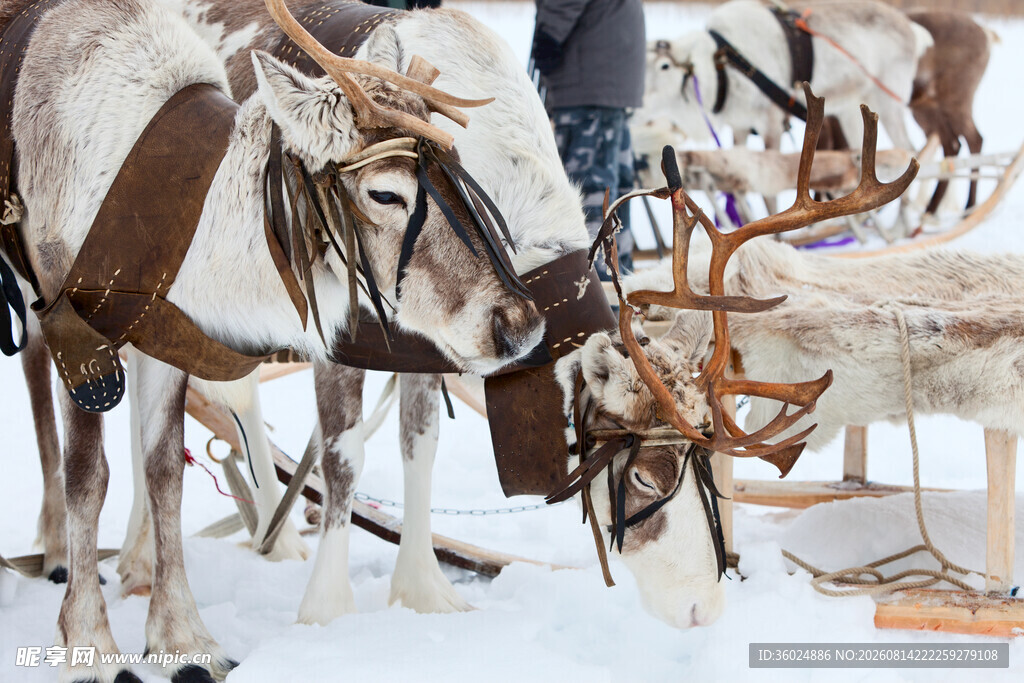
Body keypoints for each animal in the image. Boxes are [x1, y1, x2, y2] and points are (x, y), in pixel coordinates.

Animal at [5, 0, 545, 680]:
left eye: (460, 173)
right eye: (384, 192)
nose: (518, 323)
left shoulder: (161, 332)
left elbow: (165, 471)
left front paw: (182, 638)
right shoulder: (75, 325)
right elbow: (87, 476)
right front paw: (91, 646)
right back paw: (55, 553)